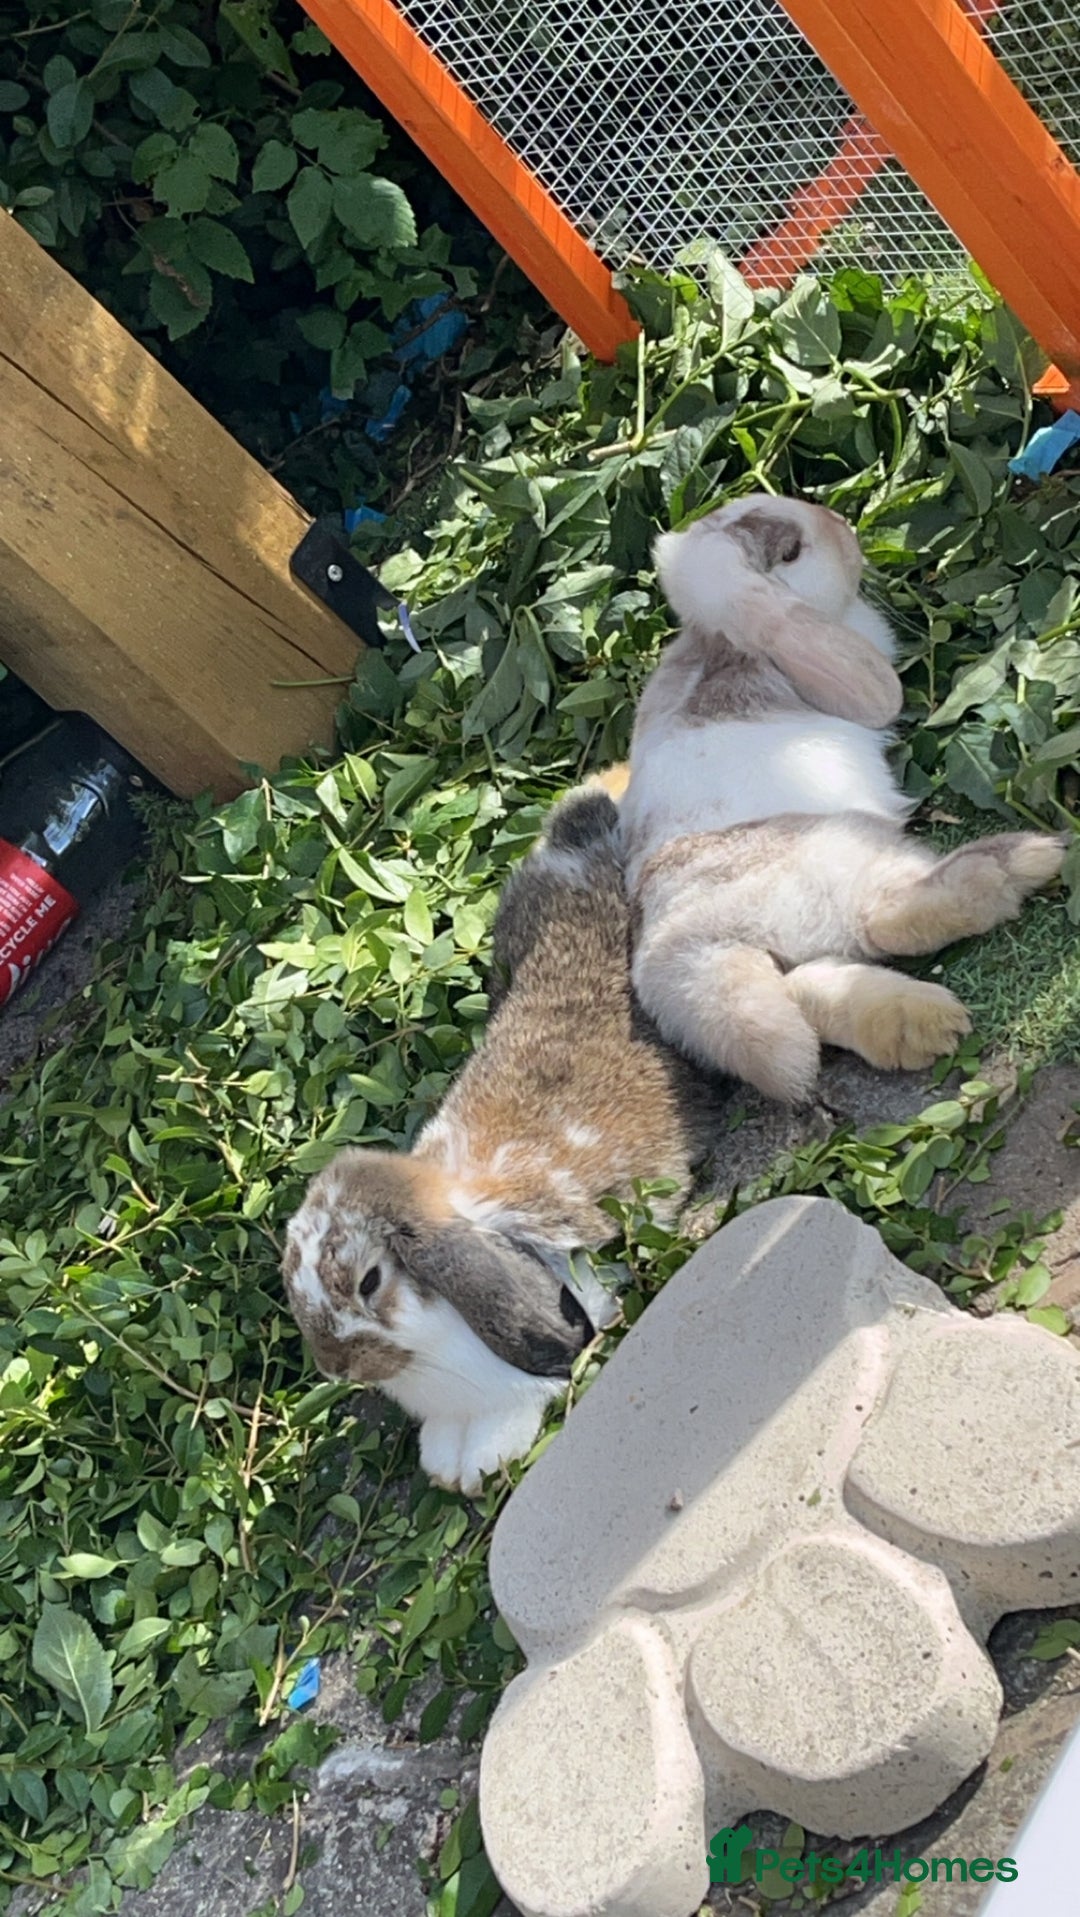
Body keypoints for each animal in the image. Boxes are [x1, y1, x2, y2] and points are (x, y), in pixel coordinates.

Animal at [620, 493, 1066, 1106]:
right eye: (791, 551)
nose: (845, 528)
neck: (721, 639)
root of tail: (690, 943)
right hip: (852, 850)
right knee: (884, 918)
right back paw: (1021, 863)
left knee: (803, 994)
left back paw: (913, 1025)